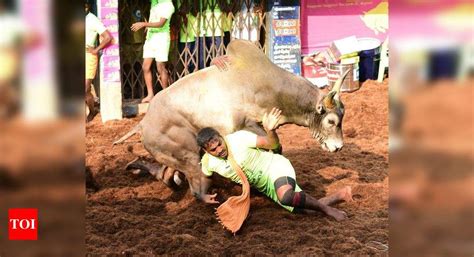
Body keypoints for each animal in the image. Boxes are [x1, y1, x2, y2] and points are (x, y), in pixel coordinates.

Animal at [114, 40, 348, 200]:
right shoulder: (240, 127)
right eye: (331, 121)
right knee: (190, 182)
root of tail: (144, 123)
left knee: (166, 176)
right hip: (189, 155)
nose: (338, 147)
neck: (269, 87)